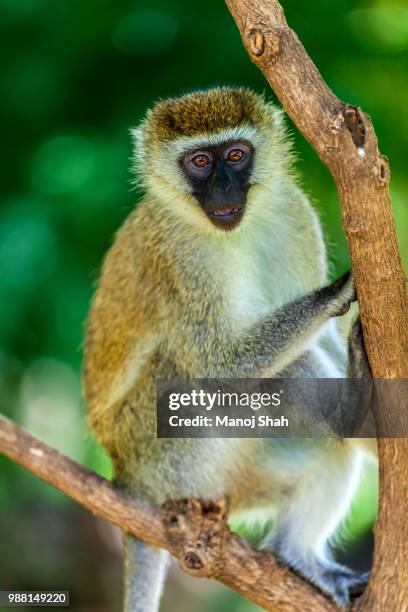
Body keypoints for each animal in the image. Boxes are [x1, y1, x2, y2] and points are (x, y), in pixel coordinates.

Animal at [84, 87, 378, 612]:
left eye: (236, 155)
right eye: (200, 162)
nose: (223, 188)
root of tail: (129, 480)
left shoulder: (295, 215)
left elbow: (322, 340)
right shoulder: (178, 257)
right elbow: (216, 364)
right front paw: (336, 293)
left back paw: (299, 552)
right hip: (168, 452)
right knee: (263, 368)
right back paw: (351, 414)